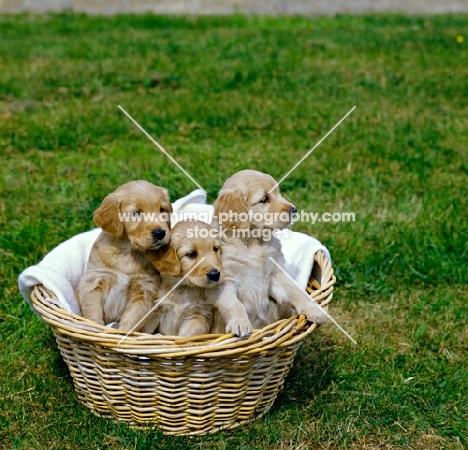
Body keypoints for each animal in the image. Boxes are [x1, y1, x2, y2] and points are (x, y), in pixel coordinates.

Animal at [78, 181, 172, 332]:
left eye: (162, 210)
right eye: (137, 213)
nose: (160, 233)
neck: (129, 252)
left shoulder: (144, 291)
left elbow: (130, 322)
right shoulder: (94, 281)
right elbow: (93, 312)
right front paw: (96, 329)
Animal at [210, 171, 328, 336]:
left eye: (278, 193)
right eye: (264, 199)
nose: (294, 210)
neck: (253, 243)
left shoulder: (275, 274)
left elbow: (295, 291)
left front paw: (314, 309)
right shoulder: (224, 281)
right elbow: (233, 304)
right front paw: (240, 323)